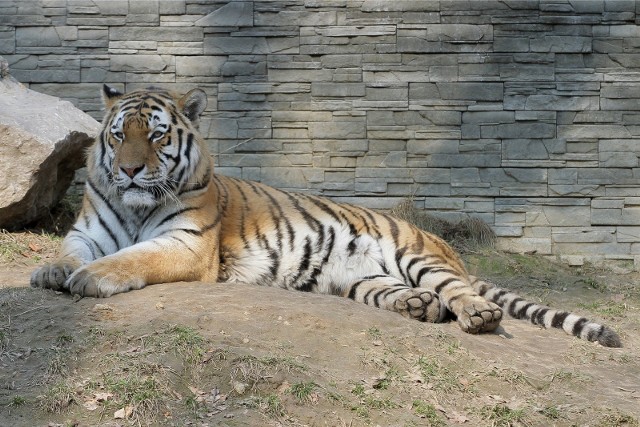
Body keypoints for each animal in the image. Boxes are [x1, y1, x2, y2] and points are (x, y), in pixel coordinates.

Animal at [28, 86, 620, 348]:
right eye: (117, 135)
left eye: (154, 136)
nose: (129, 171)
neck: (134, 206)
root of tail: (444, 245)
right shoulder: (88, 230)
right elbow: (70, 251)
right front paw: (53, 271)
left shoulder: (188, 245)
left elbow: (133, 258)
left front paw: (91, 279)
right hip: (357, 279)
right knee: (412, 296)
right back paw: (418, 307)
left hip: (419, 255)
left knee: (461, 293)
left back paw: (476, 315)